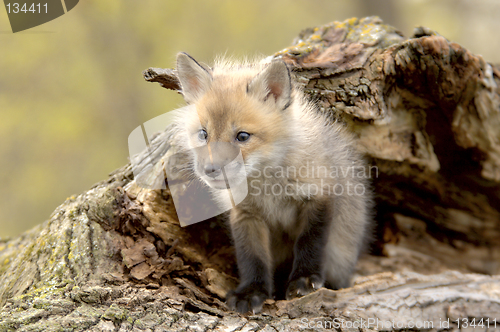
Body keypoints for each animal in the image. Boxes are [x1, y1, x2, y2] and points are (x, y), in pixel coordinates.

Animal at [172, 52, 372, 314]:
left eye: (242, 136)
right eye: (203, 134)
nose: (210, 170)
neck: (267, 187)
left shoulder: (318, 196)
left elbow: (310, 243)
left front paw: (304, 279)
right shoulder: (246, 215)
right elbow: (252, 257)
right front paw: (252, 292)